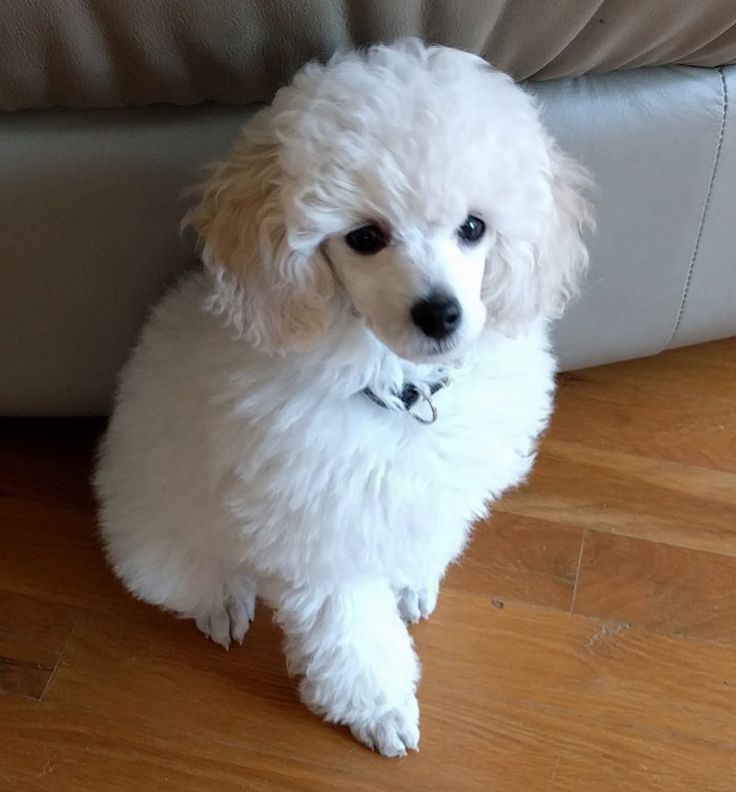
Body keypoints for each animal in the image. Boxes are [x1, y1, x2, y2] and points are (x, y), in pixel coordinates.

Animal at [96, 40, 592, 756]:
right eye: (364, 238)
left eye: (474, 227)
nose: (440, 314)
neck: (397, 388)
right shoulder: (318, 528)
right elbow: (350, 628)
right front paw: (380, 707)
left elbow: (423, 531)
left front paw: (413, 578)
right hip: (156, 539)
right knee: (190, 575)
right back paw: (223, 601)